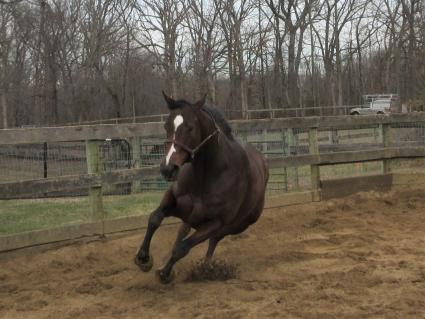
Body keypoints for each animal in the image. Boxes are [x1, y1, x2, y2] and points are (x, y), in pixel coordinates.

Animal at [134, 93, 266, 284]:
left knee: (214, 240)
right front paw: (143, 258)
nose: (168, 169)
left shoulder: (215, 222)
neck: (206, 176)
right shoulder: (174, 201)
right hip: (190, 217)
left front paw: (165, 273)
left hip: (237, 225)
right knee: (183, 231)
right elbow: (155, 219)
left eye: (190, 128)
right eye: (166, 125)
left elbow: (182, 248)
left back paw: (206, 267)